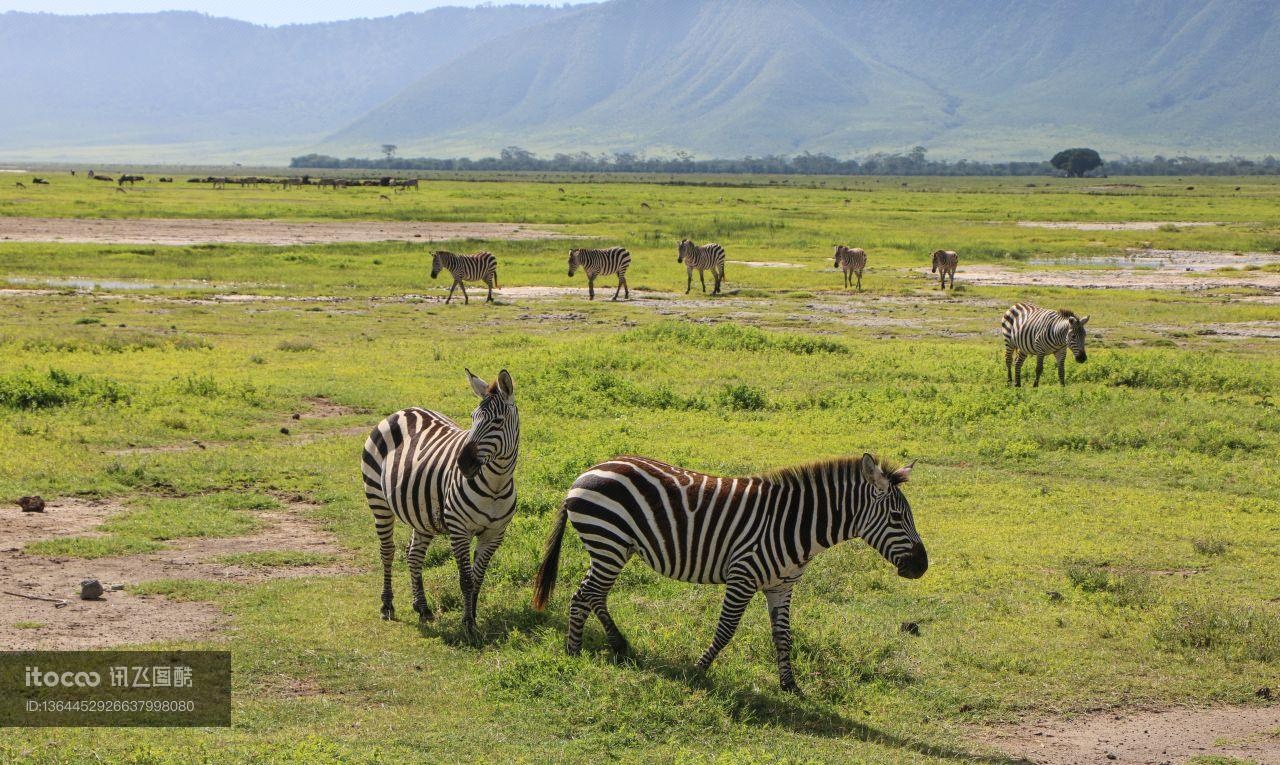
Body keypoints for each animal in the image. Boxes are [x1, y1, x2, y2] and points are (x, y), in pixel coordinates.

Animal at [360, 370, 519, 642]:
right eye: (473, 418)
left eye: (497, 422)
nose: (463, 464)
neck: (496, 485)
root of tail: (405, 410)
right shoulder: (459, 530)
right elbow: (466, 579)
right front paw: (467, 624)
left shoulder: (494, 534)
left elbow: (478, 578)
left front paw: (473, 617)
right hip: (377, 499)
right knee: (388, 551)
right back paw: (387, 605)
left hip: (421, 513)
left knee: (413, 554)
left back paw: (422, 608)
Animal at [532, 452, 931, 690]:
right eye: (898, 517)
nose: (922, 567)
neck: (795, 525)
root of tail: (588, 471)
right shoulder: (742, 576)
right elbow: (726, 630)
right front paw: (698, 670)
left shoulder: (782, 585)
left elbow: (783, 636)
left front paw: (790, 685)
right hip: (608, 542)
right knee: (583, 595)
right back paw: (573, 653)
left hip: (614, 548)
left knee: (594, 595)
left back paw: (618, 645)